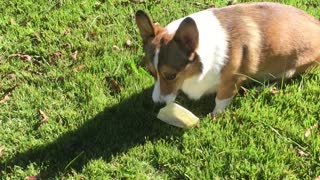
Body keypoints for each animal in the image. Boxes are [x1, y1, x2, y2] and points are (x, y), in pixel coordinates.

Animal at [135, 2, 320, 115]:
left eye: (171, 76)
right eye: (152, 73)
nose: (157, 104)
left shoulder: (232, 80)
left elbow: (221, 98)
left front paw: (215, 116)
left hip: (292, 67)